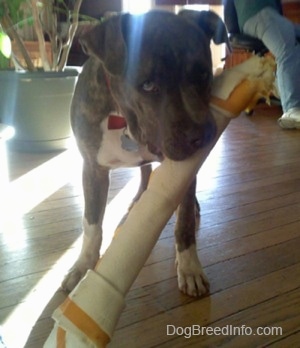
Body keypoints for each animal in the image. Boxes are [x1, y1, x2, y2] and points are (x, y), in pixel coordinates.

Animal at [63, 9, 227, 296]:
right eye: (148, 85)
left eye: (203, 74)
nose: (202, 136)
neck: (124, 120)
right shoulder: (92, 168)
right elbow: (91, 223)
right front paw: (83, 265)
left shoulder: (183, 169)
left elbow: (185, 220)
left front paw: (189, 267)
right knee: (144, 173)